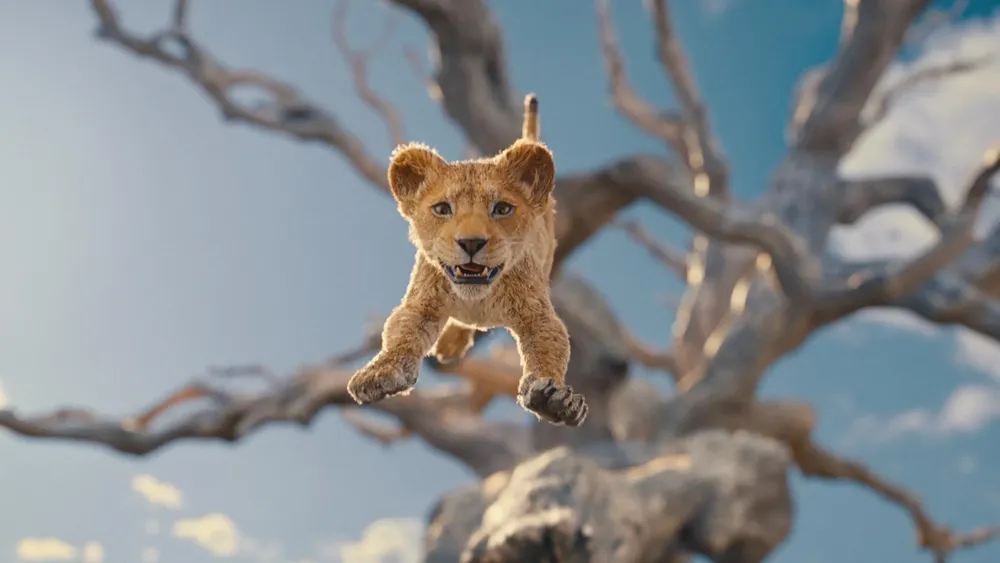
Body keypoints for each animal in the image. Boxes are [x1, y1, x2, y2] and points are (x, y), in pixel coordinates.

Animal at [346, 94, 588, 427]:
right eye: (442, 209)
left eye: (502, 209)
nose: (471, 242)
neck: (477, 298)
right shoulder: (421, 304)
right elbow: (400, 334)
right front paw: (379, 373)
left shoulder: (537, 315)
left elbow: (549, 348)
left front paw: (553, 399)